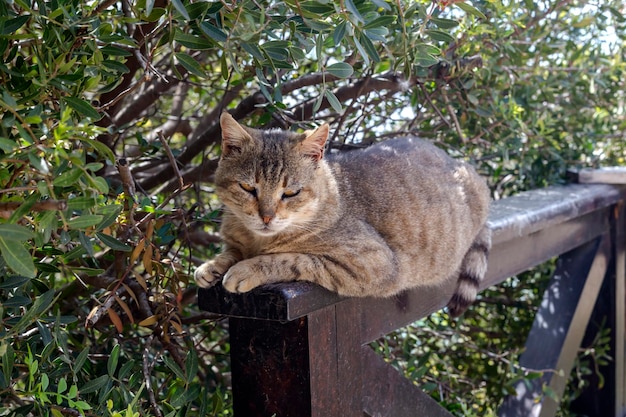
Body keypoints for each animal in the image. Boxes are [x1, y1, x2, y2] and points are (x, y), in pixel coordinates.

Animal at [195, 111, 492, 316]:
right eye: (248, 188)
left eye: (290, 192)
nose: (266, 217)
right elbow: (232, 250)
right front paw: (212, 265)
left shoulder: (372, 263)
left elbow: (291, 259)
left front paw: (245, 269)